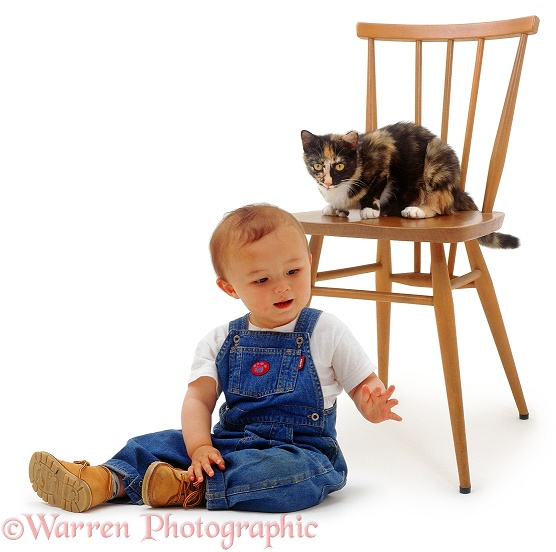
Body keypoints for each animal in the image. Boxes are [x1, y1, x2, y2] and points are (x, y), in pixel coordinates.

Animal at [302, 123, 520, 250]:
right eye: (318, 165)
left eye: (339, 165)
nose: (327, 182)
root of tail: (458, 189)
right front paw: (335, 208)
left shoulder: (382, 150)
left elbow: (376, 186)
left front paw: (370, 209)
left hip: (436, 155)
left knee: (440, 204)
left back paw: (417, 210)